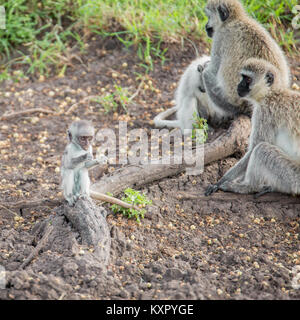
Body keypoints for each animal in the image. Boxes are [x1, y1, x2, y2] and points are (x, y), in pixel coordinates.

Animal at [205, 58, 300, 196]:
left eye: (248, 79)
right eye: (242, 77)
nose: (239, 85)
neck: (271, 92)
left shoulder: (264, 112)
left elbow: (253, 149)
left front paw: (220, 182)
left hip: (294, 177)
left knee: (261, 149)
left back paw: (248, 187)